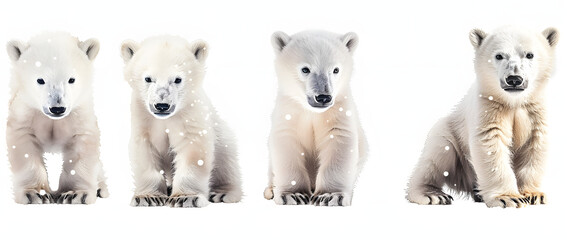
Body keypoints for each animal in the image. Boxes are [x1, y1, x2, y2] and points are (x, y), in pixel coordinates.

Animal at [5, 31, 108, 204]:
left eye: (71, 79)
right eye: (40, 80)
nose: (57, 109)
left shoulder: (78, 113)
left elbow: (82, 146)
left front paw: (75, 194)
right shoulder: (26, 110)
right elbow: (25, 146)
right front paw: (35, 194)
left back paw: (101, 188)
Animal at [122, 34, 242, 207]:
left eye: (177, 79)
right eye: (148, 78)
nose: (162, 106)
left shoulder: (190, 112)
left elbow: (192, 149)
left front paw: (186, 197)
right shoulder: (142, 115)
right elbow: (145, 150)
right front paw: (147, 197)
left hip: (222, 136)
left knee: (227, 160)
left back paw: (222, 193)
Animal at [266, 30, 370, 206]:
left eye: (335, 70)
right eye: (305, 69)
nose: (323, 97)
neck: (312, 112)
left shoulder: (339, 111)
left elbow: (338, 141)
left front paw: (330, 196)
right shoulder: (289, 110)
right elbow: (287, 143)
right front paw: (294, 195)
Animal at [408, 25, 560, 206]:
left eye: (529, 54)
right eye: (499, 55)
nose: (514, 79)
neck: (512, 101)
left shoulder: (534, 110)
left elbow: (534, 144)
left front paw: (533, 195)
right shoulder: (489, 106)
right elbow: (491, 143)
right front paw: (508, 197)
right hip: (447, 135)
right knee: (436, 158)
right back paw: (433, 195)